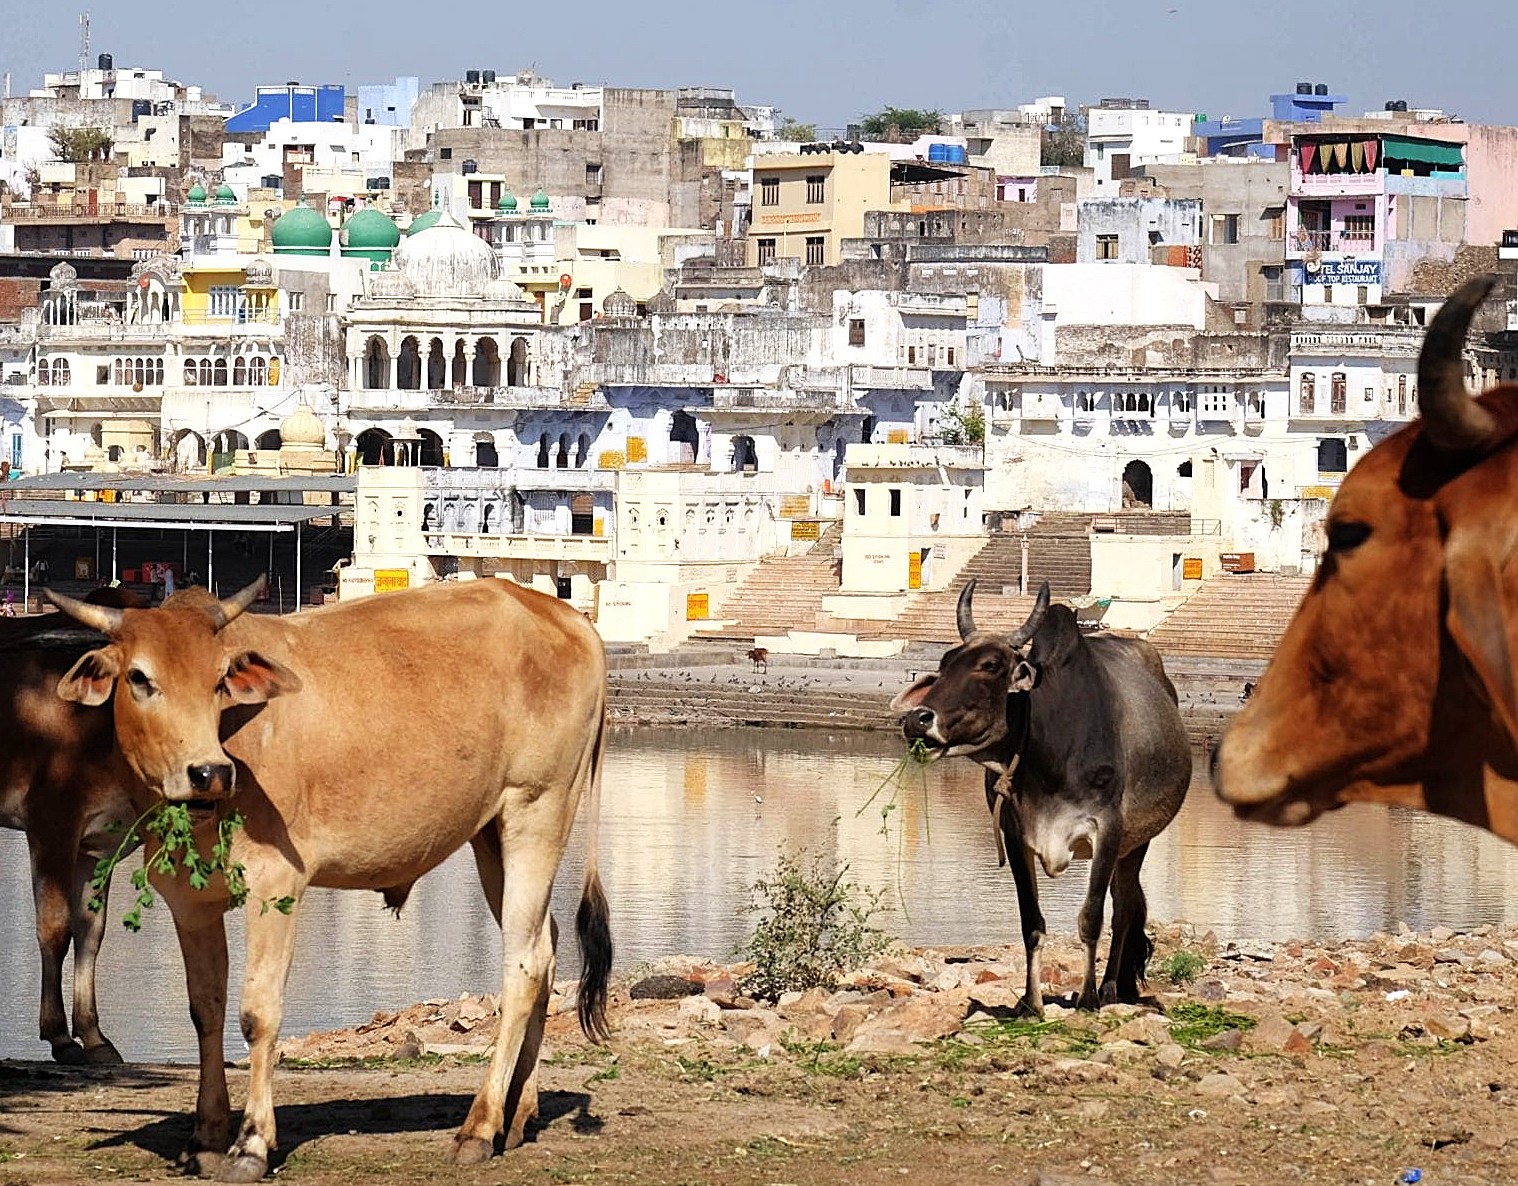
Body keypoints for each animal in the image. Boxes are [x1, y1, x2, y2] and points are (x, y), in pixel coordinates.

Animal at [0, 587, 145, 1064]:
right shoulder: (51, 824)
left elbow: (91, 931)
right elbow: (55, 928)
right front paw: (60, 1036)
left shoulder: (101, 842)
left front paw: (95, 1035)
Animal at [45, 577, 612, 1181]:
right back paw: (518, 1111)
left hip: (538, 810)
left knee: (523, 964)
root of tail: (565, 617)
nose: (209, 772)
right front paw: (206, 1135)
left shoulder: (276, 886)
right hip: (490, 836)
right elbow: (206, 1010)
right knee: (546, 947)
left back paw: (479, 1125)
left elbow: (258, 1014)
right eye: (140, 678)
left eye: (220, 680)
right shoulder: (188, 901)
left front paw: (251, 1142)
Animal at [892, 581, 1191, 1015]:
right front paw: (1031, 1003)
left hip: (1137, 842)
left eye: (991, 665)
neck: (1050, 752)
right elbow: (1031, 922)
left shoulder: (1107, 829)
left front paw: (1087, 998)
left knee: (1124, 909)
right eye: (946, 663)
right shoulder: (1015, 833)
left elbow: (1091, 917)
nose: (918, 719)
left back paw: (1110, 989)